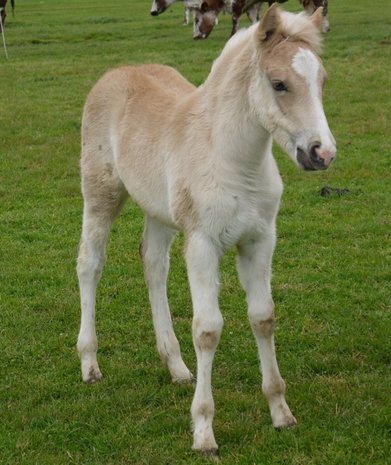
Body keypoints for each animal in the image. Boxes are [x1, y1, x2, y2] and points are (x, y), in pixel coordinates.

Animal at [77, 3, 336, 454]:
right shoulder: (202, 245)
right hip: (100, 195)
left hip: (160, 213)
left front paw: (280, 412)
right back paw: (90, 363)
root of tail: (118, 72)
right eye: (279, 84)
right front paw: (203, 431)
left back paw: (177, 367)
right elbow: (208, 329)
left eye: (321, 81)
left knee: (153, 265)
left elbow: (263, 317)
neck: (234, 160)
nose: (322, 153)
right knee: (89, 265)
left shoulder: (260, 241)